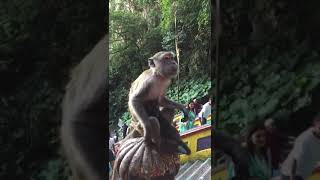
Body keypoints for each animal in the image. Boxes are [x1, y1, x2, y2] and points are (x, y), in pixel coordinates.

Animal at [111, 50, 191, 180]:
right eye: (166, 58)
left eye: (172, 57)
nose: (174, 62)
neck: (158, 77)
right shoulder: (147, 82)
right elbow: (135, 100)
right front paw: (147, 126)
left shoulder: (166, 82)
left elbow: (162, 100)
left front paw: (183, 108)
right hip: (138, 126)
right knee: (153, 120)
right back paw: (159, 143)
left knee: (167, 111)